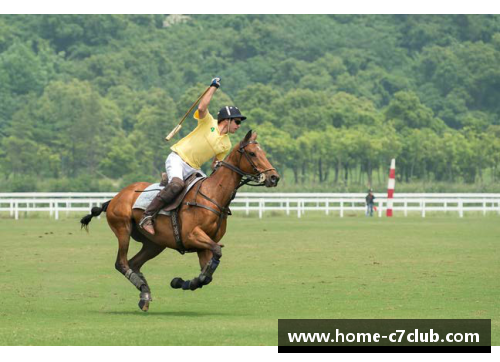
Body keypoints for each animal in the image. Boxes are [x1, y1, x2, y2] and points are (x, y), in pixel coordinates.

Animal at [80, 130, 280, 312]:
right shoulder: (192, 235)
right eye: (253, 153)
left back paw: (145, 295)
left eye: (263, 152)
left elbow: (207, 275)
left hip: (154, 243)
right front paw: (180, 282)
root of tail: (115, 198)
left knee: (134, 263)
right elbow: (216, 253)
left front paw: (181, 282)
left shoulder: (204, 244)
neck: (213, 195)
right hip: (123, 230)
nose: (274, 177)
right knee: (121, 263)